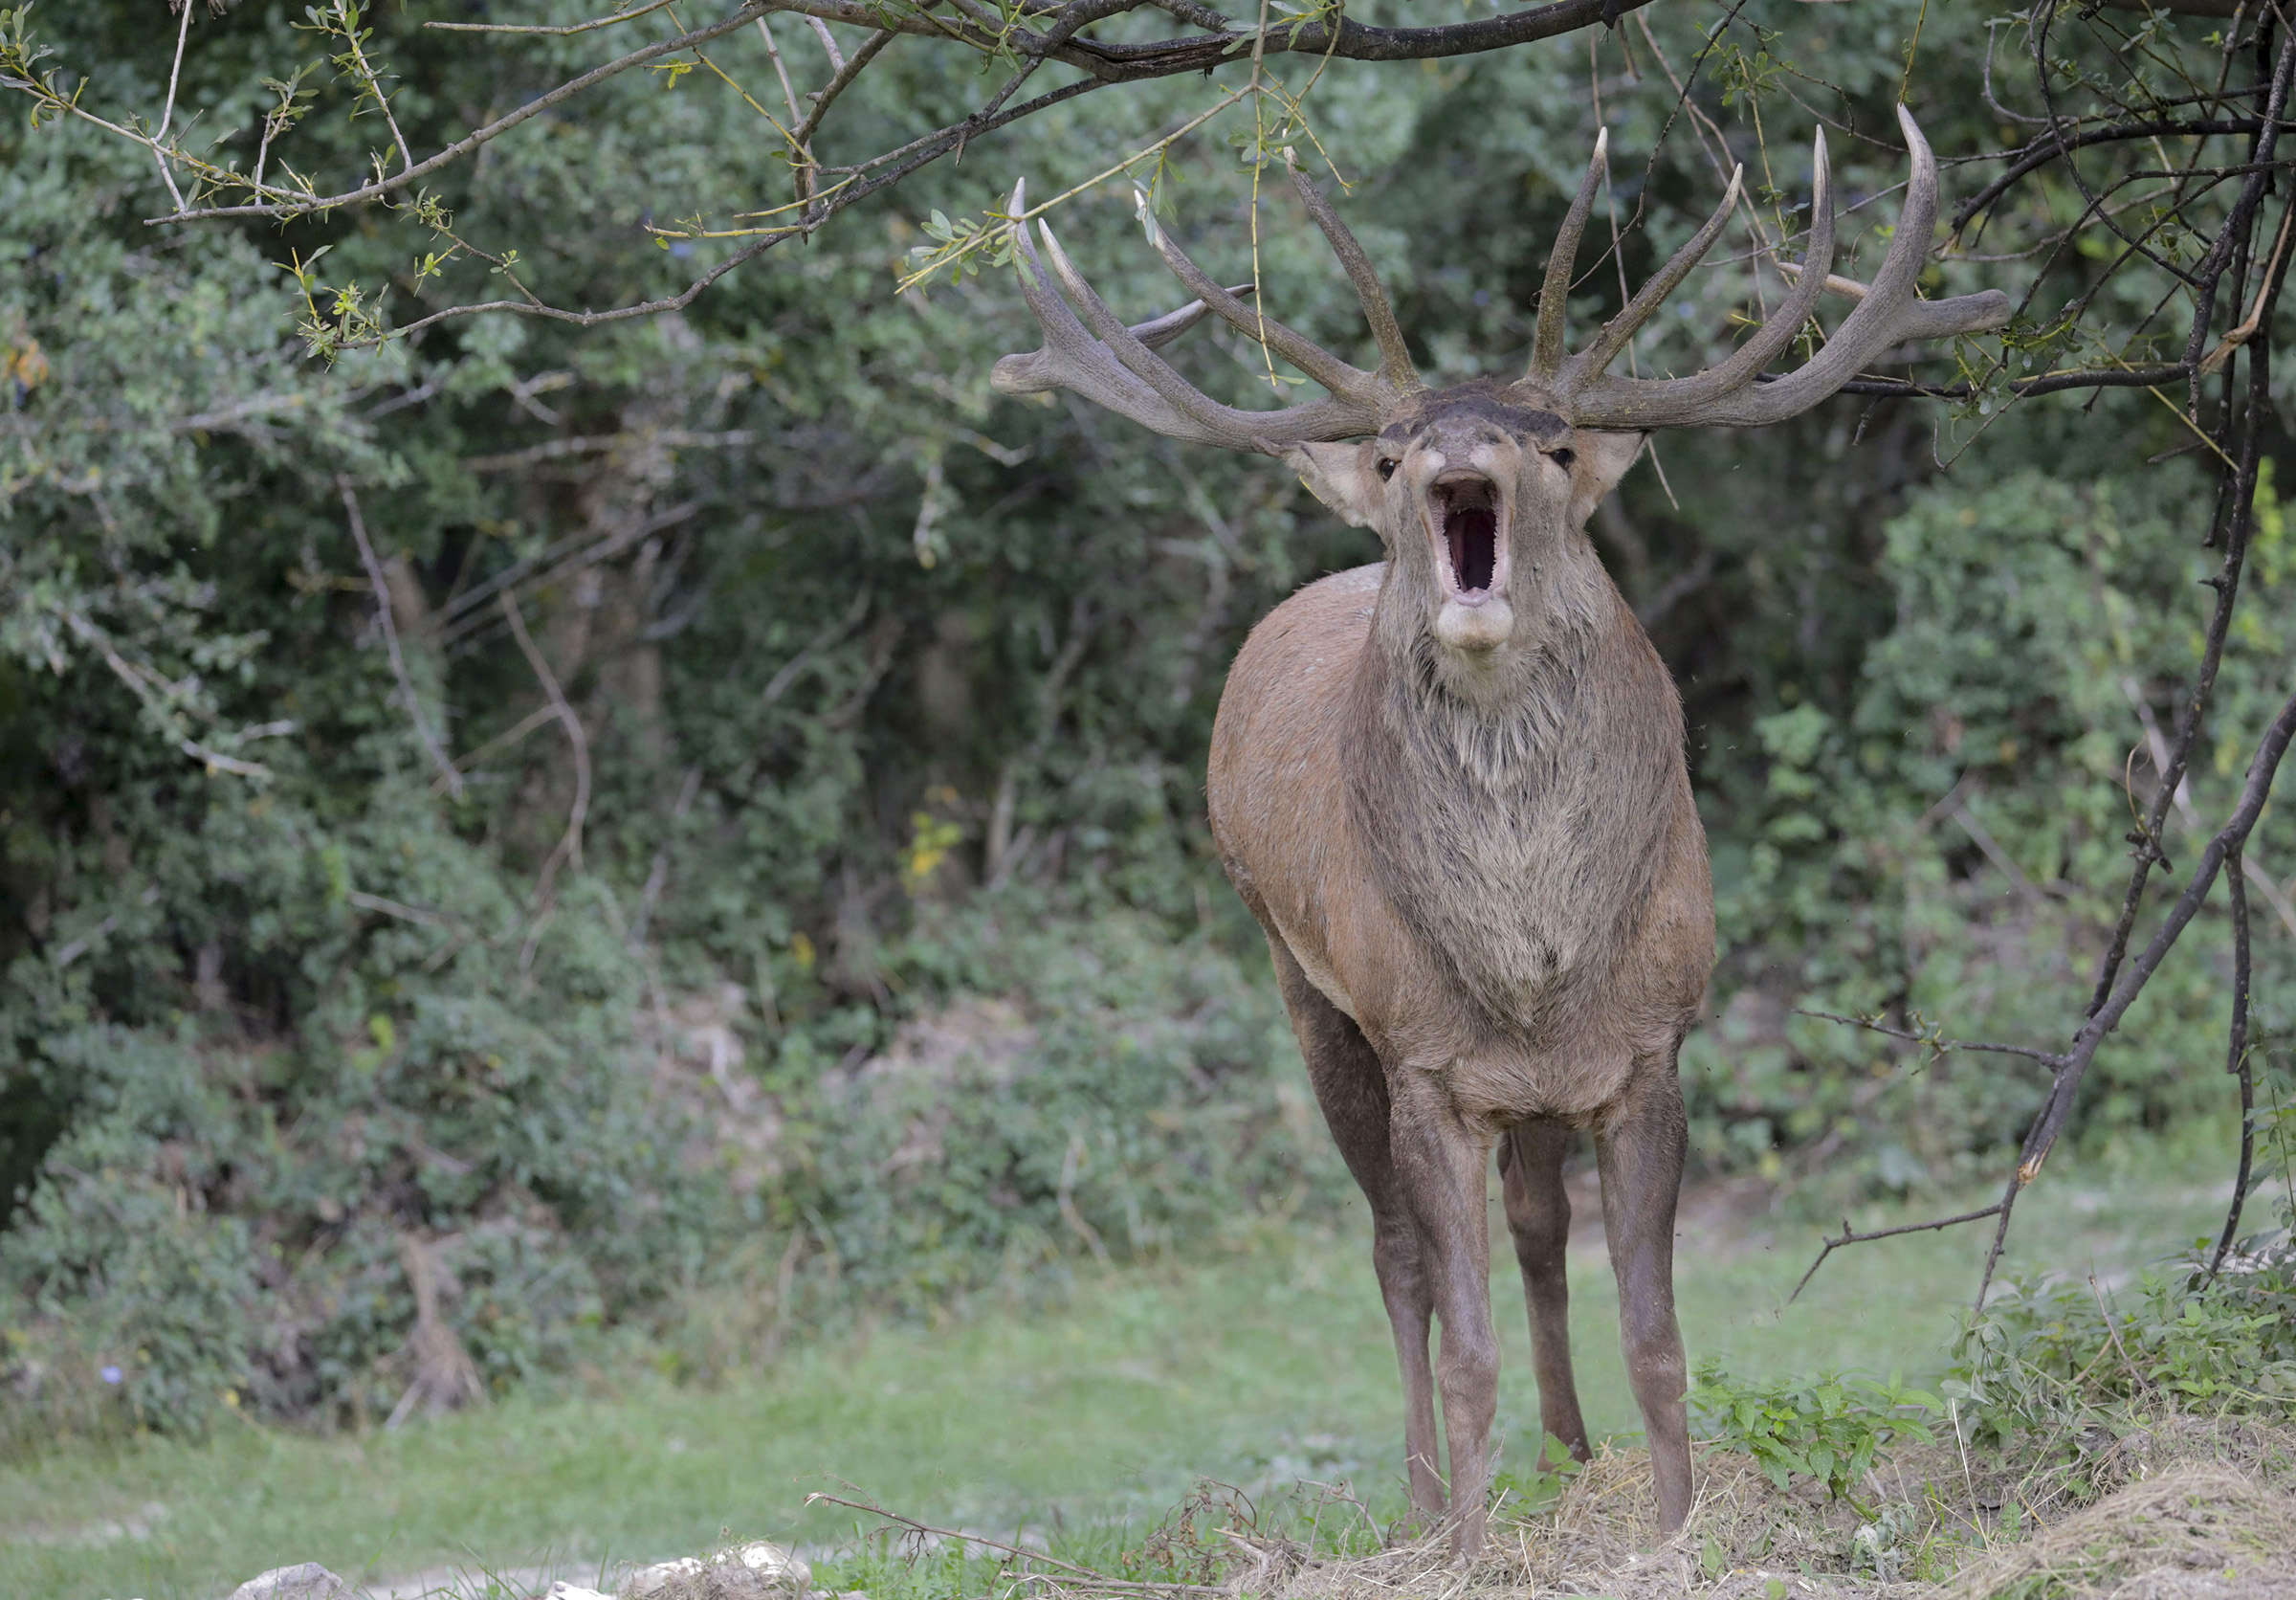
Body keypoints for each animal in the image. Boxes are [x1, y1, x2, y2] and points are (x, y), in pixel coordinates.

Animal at [991, 108, 2007, 1560]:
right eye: (1392, 449)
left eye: (1560, 441)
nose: (1457, 457)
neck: (1535, 961)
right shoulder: (1425, 1059)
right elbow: (1458, 1333)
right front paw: (1469, 1548)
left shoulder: (1650, 1046)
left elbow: (1658, 1337)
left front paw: (1668, 1529)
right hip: (1300, 982)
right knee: (1394, 1257)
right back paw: (1424, 1504)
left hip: (1518, 1088)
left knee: (1534, 1226)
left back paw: (1568, 1456)